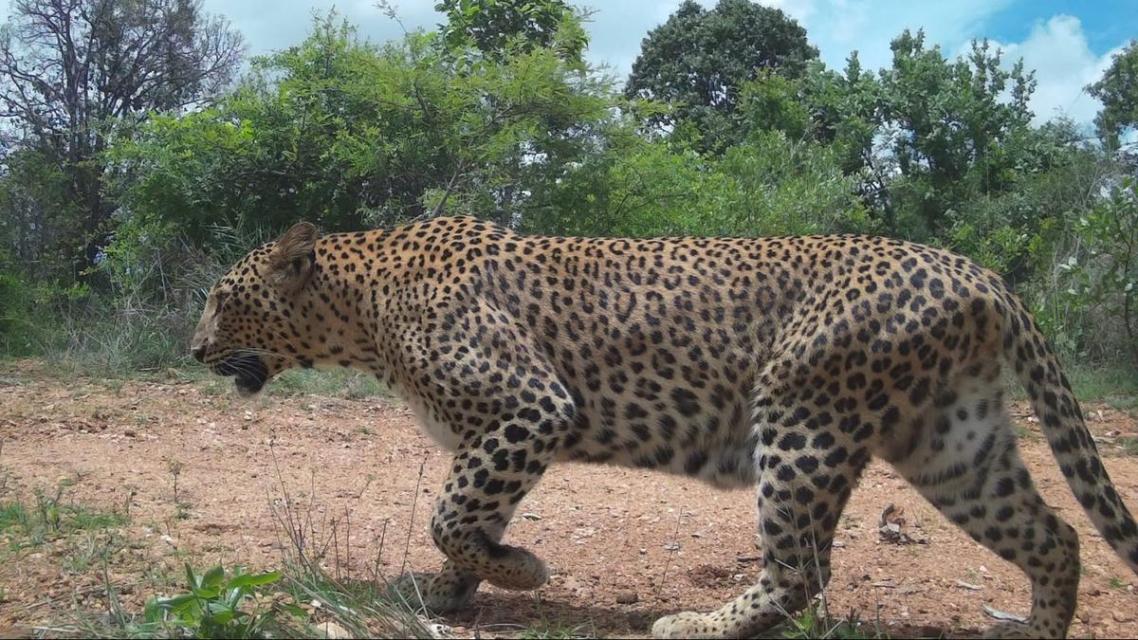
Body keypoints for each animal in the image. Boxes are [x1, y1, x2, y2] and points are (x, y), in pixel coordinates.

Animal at [190, 215, 1138, 639]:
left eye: (222, 299)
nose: (193, 348)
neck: (360, 309)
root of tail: (981, 274)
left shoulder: (529, 406)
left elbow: (451, 514)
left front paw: (520, 571)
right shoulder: (496, 430)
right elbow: (467, 518)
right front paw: (454, 593)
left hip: (801, 418)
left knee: (803, 568)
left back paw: (693, 625)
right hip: (950, 443)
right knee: (1055, 537)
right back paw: (1034, 630)